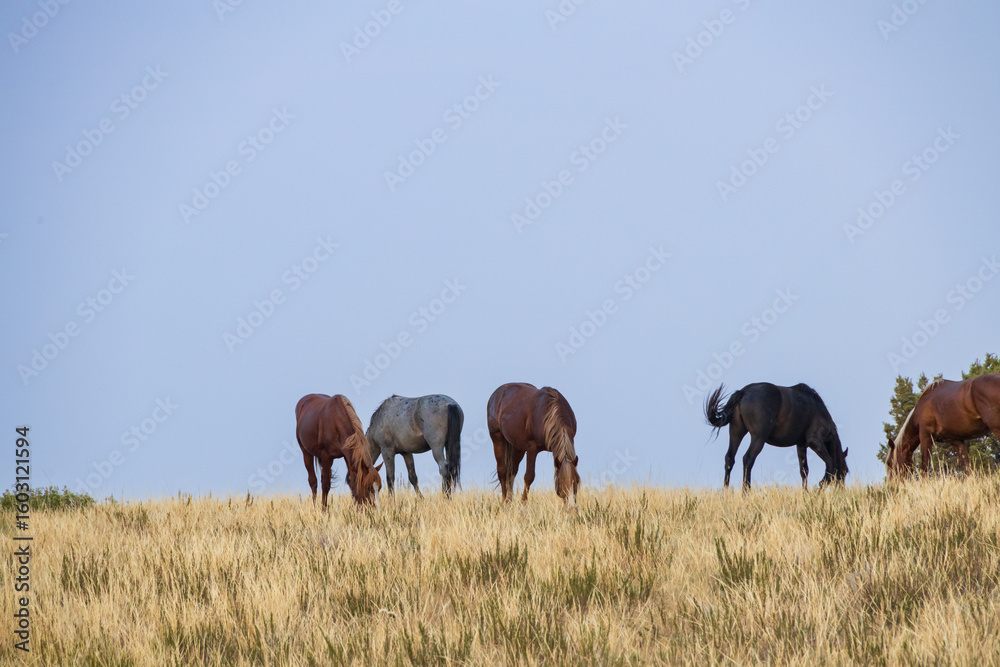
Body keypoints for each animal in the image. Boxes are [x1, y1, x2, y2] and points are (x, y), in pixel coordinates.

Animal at [705, 383, 848, 489]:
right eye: (845, 472)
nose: (841, 492)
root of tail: (743, 392)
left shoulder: (801, 444)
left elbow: (804, 470)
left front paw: (806, 492)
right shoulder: (815, 442)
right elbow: (830, 462)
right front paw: (821, 484)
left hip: (736, 433)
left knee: (730, 458)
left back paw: (726, 491)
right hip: (758, 438)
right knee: (748, 459)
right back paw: (746, 491)